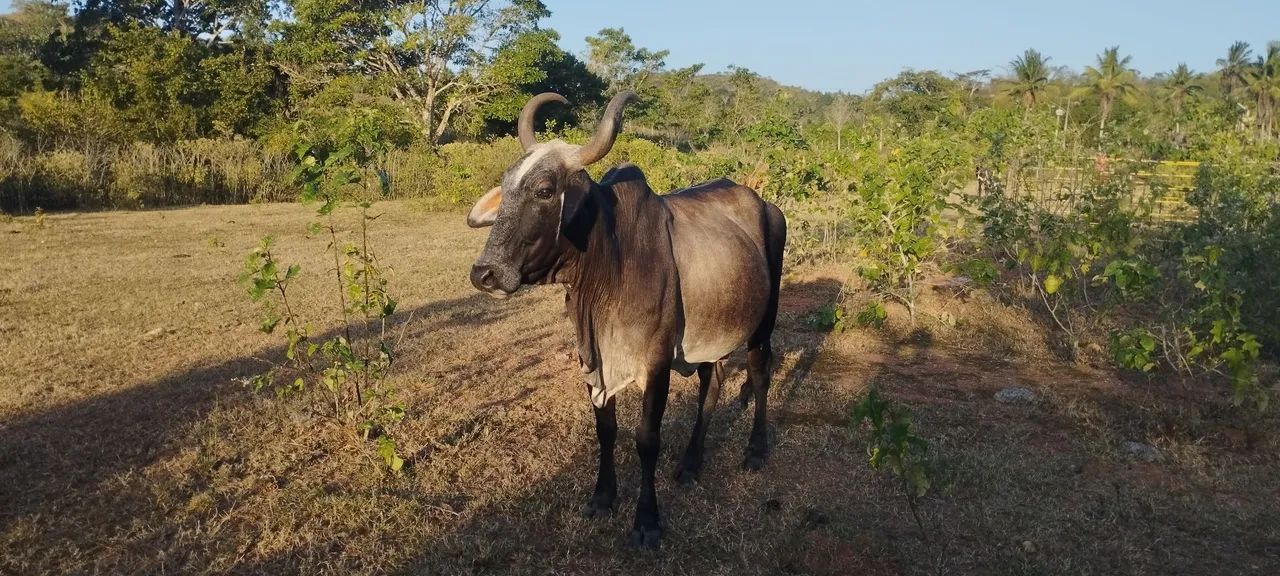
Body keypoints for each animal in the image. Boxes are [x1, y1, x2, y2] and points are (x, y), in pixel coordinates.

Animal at [466, 90, 787, 547]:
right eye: (506, 187)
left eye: (545, 190)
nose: (484, 274)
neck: (609, 266)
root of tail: (764, 203)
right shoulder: (592, 359)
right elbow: (606, 429)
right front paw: (603, 498)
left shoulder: (656, 363)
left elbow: (647, 438)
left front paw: (647, 520)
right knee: (712, 384)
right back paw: (691, 464)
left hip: (765, 318)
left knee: (760, 372)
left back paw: (756, 450)